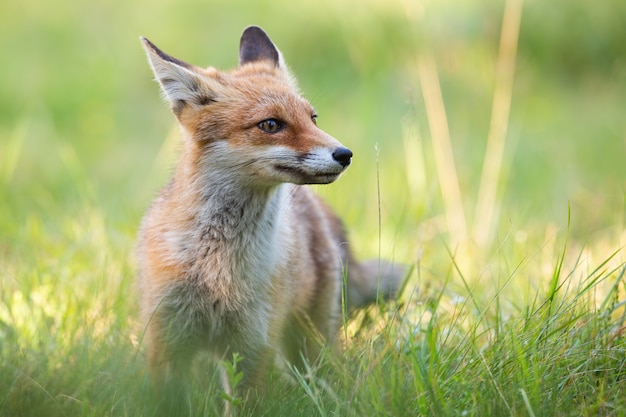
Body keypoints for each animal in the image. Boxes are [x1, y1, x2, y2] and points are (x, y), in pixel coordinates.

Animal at [135, 26, 402, 400]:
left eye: (312, 118)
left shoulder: (251, 348)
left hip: (312, 341)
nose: (345, 154)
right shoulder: (166, 345)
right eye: (271, 124)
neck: (216, 269)